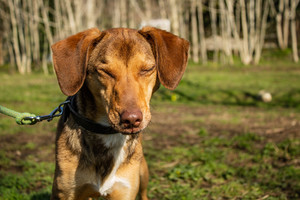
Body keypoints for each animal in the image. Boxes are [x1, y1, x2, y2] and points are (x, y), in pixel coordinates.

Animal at [50, 27, 189, 200]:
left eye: (147, 69)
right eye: (105, 72)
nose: (132, 119)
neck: (108, 134)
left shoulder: (125, 191)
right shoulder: (66, 192)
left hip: (143, 173)